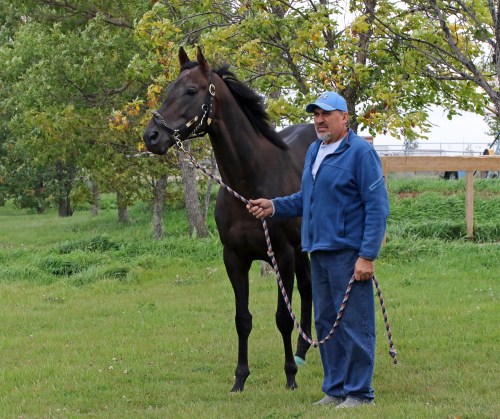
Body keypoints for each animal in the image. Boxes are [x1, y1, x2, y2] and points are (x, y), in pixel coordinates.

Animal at [143, 47, 314, 392]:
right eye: (168, 90)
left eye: (190, 91)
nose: (151, 137)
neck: (250, 184)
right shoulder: (234, 258)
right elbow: (242, 319)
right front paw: (240, 378)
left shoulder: (283, 256)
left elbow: (282, 318)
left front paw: (289, 376)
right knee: (307, 290)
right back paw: (303, 351)